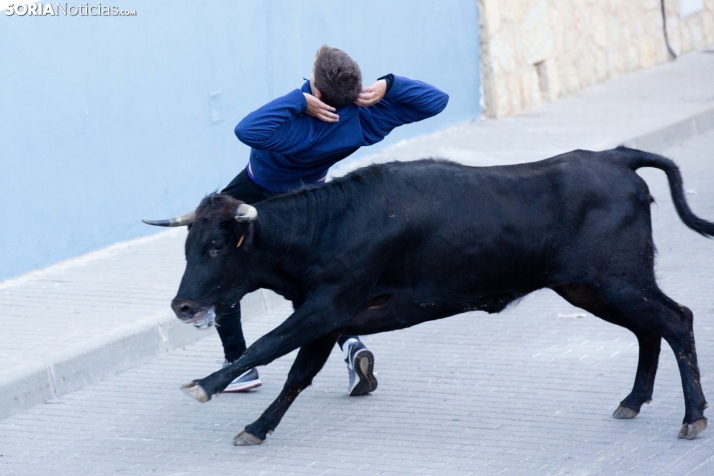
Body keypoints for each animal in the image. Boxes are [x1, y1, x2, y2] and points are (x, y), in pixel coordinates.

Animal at [147, 146, 708, 446]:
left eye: (216, 246)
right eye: (188, 246)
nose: (182, 306)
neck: (330, 224)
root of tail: (615, 156)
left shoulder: (326, 308)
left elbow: (267, 346)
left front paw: (205, 385)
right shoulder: (329, 318)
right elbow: (296, 375)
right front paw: (258, 428)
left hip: (618, 280)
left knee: (676, 320)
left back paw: (693, 416)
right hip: (592, 288)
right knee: (649, 330)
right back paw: (632, 401)